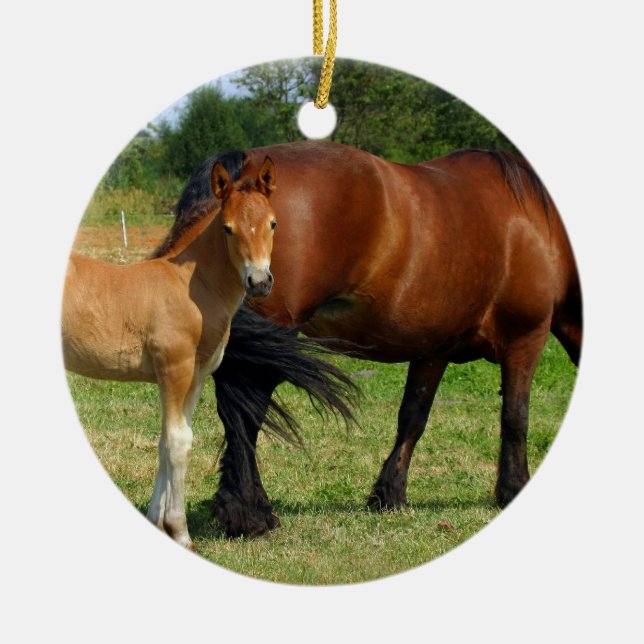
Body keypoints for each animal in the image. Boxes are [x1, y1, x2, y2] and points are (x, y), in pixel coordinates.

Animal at [63, 157, 280, 550]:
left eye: (273, 223)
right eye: (227, 228)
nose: (259, 282)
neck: (189, 288)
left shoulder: (195, 376)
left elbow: (167, 441)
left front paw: (156, 523)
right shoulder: (174, 370)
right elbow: (180, 443)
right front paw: (180, 533)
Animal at [167, 140, 582, 538]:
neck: (537, 223)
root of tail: (245, 166)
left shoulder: (434, 349)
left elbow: (413, 417)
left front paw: (389, 493)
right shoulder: (526, 338)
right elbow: (515, 416)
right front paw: (512, 488)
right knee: (244, 418)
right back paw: (250, 516)